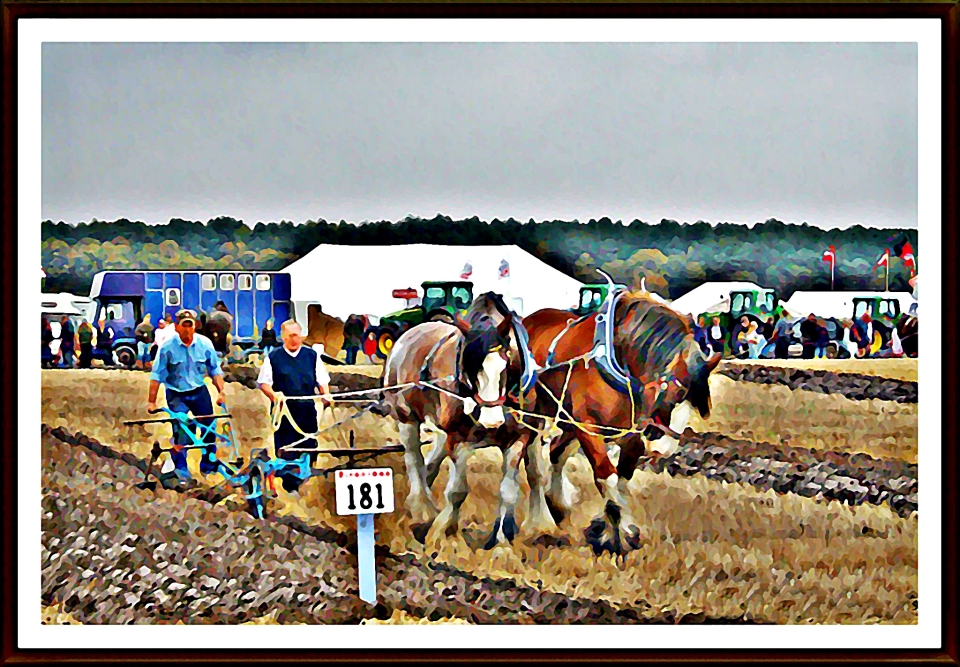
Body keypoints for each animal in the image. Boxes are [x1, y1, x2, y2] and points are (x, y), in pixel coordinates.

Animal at [520, 290, 716, 556]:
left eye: (697, 401)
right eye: (676, 392)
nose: (663, 447)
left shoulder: (631, 435)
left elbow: (622, 480)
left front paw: (617, 530)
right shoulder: (588, 428)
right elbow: (607, 477)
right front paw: (617, 536)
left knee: (556, 454)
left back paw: (558, 503)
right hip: (537, 415)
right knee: (535, 465)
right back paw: (539, 521)